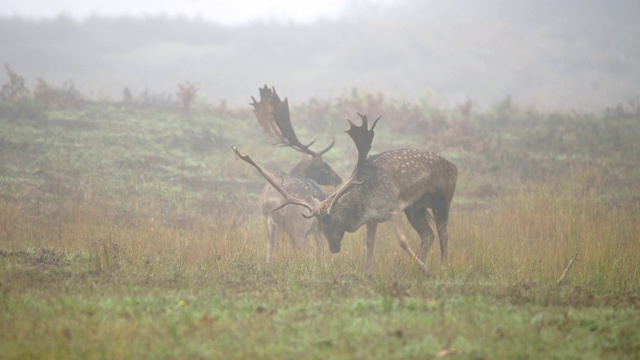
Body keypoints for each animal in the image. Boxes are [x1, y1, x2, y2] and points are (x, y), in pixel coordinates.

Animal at [232, 112, 458, 272]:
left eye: (338, 221)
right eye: (322, 225)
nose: (334, 248)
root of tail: (454, 166)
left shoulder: (393, 208)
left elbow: (402, 241)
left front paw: (427, 270)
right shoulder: (373, 219)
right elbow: (369, 246)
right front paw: (369, 274)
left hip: (442, 199)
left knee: (444, 234)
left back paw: (441, 266)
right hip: (415, 209)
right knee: (428, 235)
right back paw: (415, 268)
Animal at [249, 87, 342, 262]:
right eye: (324, 167)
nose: (339, 179)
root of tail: (318, 201)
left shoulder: (269, 217)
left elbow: (270, 248)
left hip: (298, 227)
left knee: (306, 251)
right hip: (321, 228)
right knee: (324, 250)